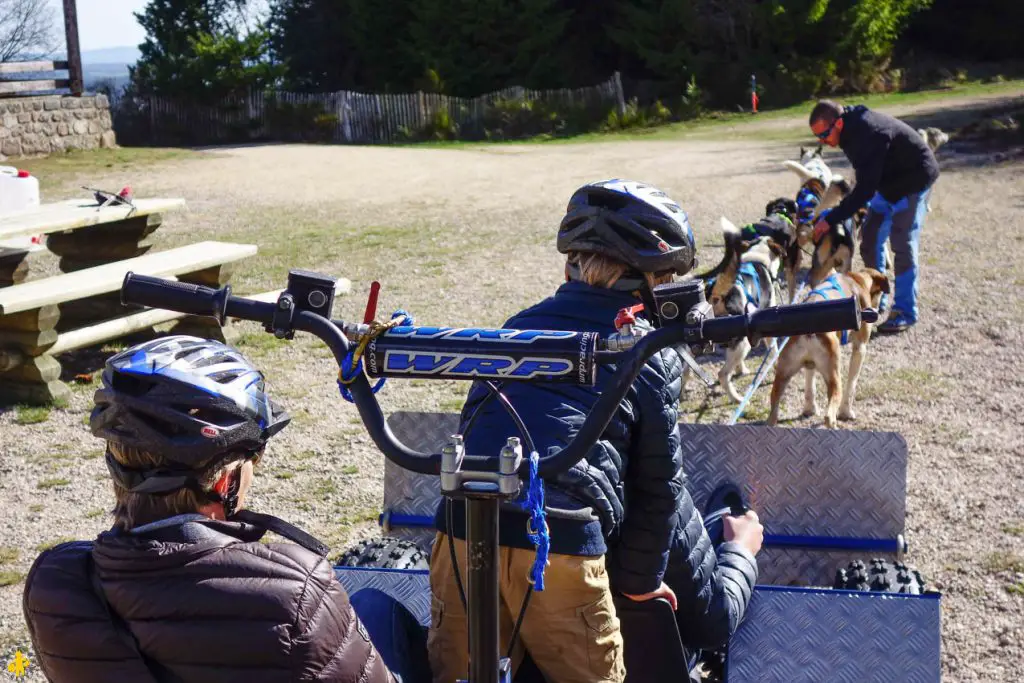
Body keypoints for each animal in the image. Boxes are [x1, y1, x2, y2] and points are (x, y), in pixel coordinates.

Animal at [770, 222, 888, 428]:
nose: (876, 310)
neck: (855, 281)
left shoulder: (809, 365)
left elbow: (809, 384)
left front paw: (809, 408)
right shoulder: (860, 348)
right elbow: (852, 384)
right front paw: (846, 412)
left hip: (782, 376)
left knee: (773, 410)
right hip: (833, 376)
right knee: (829, 413)